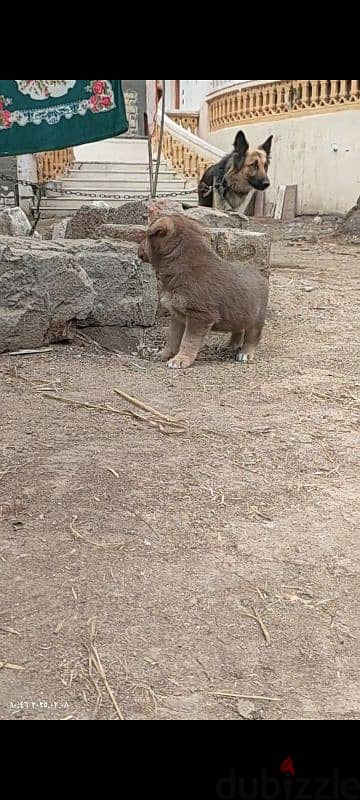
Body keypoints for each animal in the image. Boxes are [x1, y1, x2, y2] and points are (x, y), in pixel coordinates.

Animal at [139, 216, 268, 372]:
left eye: (146, 236)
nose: (138, 249)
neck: (181, 261)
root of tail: (261, 275)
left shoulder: (199, 316)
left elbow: (188, 341)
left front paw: (180, 360)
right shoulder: (177, 315)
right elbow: (173, 338)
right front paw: (164, 355)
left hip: (256, 319)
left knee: (252, 336)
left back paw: (245, 353)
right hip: (239, 314)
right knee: (237, 330)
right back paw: (230, 346)